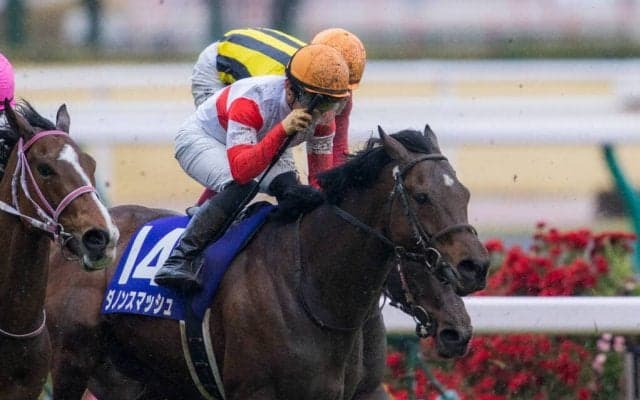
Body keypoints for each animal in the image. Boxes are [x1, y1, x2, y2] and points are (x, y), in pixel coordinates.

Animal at [46, 125, 489, 399]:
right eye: (422, 196)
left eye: (465, 193)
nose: (476, 267)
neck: (312, 286)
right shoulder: (255, 391)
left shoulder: (361, 390)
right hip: (71, 361)